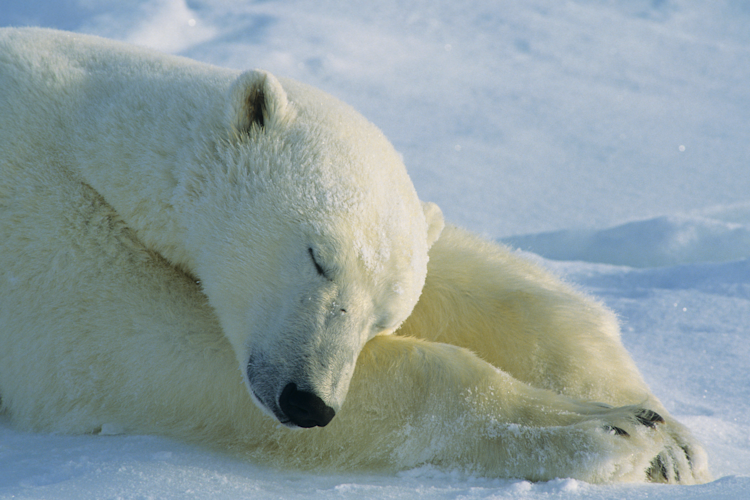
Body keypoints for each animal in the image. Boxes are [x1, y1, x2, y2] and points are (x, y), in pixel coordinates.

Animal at [0, 28, 709, 484]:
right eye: (318, 258)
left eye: (383, 317)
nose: (308, 401)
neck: (91, 136)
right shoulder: (42, 231)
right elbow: (141, 348)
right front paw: (607, 433)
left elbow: (482, 282)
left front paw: (665, 435)